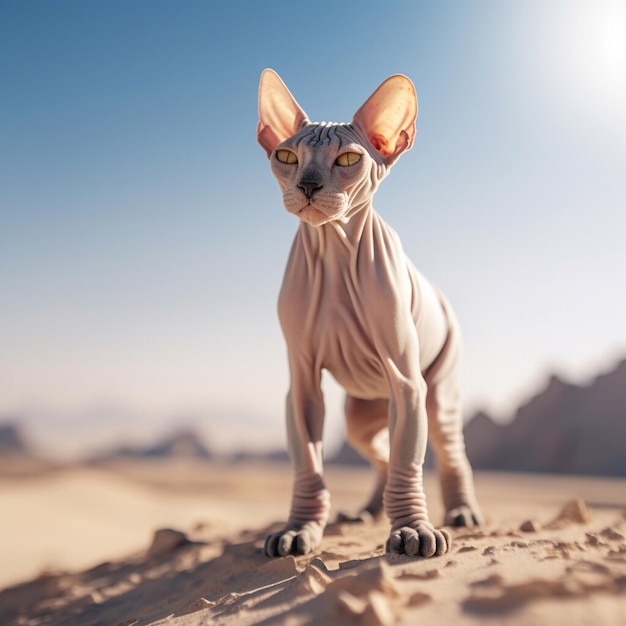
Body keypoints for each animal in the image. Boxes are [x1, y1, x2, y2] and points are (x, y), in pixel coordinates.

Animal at [256, 68, 480, 556]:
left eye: (347, 159)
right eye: (286, 156)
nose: (307, 185)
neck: (336, 257)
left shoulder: (405, 379)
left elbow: (407, 463)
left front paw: (412, 530)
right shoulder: (302, 382)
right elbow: (309, 464)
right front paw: (299, 529)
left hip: (434, 392)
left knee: (447, 451)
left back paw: (461, 511)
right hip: (361, 413)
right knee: (378, 449)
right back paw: (367, 511)